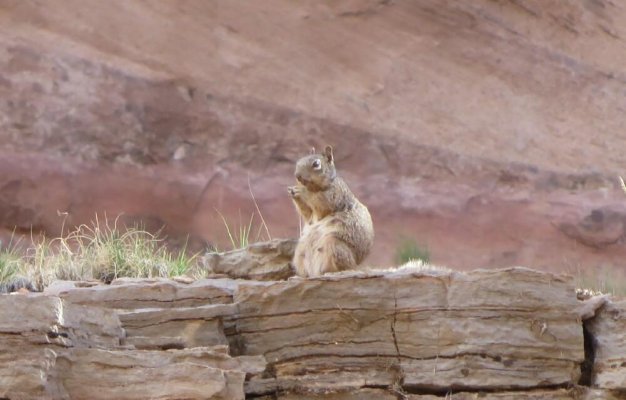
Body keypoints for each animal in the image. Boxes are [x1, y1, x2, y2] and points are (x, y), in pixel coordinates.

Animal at [286, 145, 370, 276]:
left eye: (316, 164)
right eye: (299, 161)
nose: (297, 175)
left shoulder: (334, 195)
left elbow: (320, 203)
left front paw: (302, 191)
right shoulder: (310, 214)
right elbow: (307, 213)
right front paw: (292, 192)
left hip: (334, 245)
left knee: (341, 267)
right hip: (300, 251)